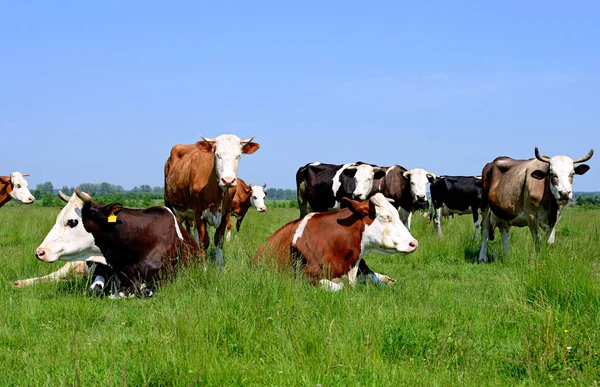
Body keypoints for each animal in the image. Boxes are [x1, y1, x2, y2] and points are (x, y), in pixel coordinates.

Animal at [164, 136, 260, 266]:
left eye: (239, 155)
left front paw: (219, 266)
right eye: (217, 154)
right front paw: (204, 267)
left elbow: (219, 240)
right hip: (172, 207)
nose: (228, 180)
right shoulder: (199, 212)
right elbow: (204, 241)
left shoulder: (225, 213)